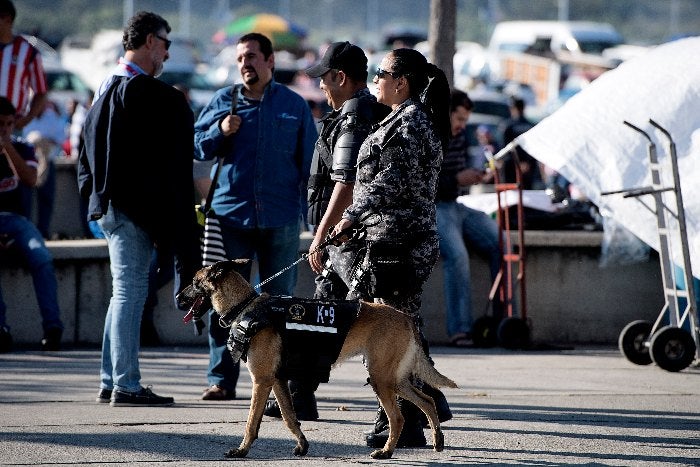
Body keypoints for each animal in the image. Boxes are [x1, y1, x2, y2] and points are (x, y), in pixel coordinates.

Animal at [178, 262, 456, 462]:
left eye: (193, 282)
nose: (178, 298)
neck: (245, 306)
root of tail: (405, 316)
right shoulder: (277, 381)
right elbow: (289, 417)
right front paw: (302, 445)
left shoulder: (262, 381)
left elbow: (250, 423)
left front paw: (241, 451)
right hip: (393, 379)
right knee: (427, 400)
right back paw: (437, 440)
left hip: (381, 379)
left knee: (398, 417)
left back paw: (386, 452)